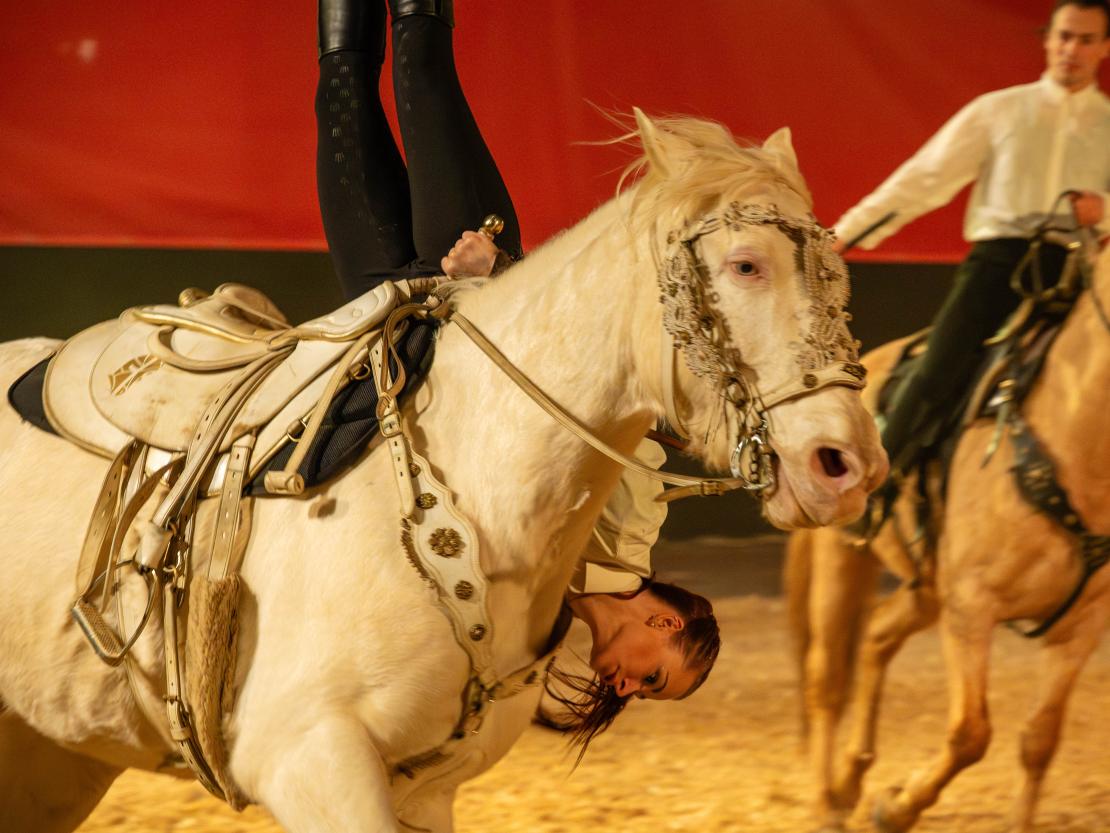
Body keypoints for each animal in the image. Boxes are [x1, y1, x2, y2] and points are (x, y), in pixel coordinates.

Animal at [0, 111, 885, 833]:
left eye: (837, 274)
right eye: (746, 265)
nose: (847, 467)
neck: (475, 508)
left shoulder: (419, 791)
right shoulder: (307, 759)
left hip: (51, 758)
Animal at [786, 241, 1110, 833]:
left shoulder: (1081, 626)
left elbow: (1040, 739)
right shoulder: (971, 610)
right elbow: (970, 734)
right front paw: (895, 807)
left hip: (927, 586)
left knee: (877, 637)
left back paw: (849, 781)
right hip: (843, 559)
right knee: (827, 677)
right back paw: (824, 801)